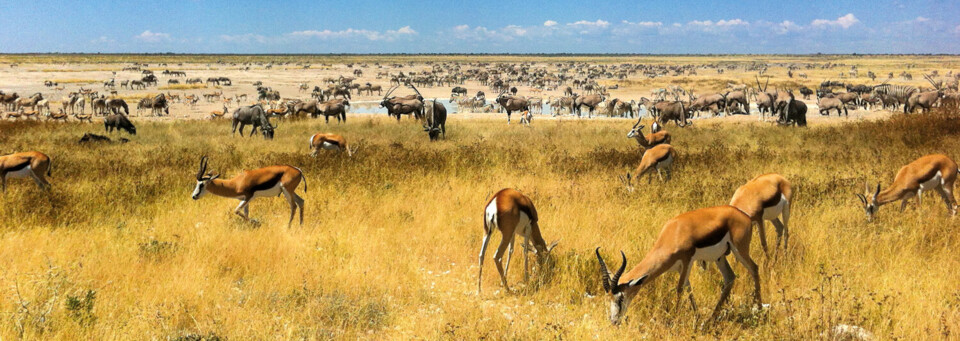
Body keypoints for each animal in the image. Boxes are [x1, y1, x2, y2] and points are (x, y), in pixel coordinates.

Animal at [596, 205, 760, 324]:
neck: (674, 233)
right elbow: (688, 288)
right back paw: (709, 320)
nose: (614, 321)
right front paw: (697, 318)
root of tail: (744, 216)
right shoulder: (679, 268)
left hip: (740, 249)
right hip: (720, 257)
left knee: (754, 268)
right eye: (608, 297)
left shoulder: (687, 261)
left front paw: (674, 319)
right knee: (730, 278)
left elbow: (680, 289)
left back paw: (758, 310)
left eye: (621, 298)